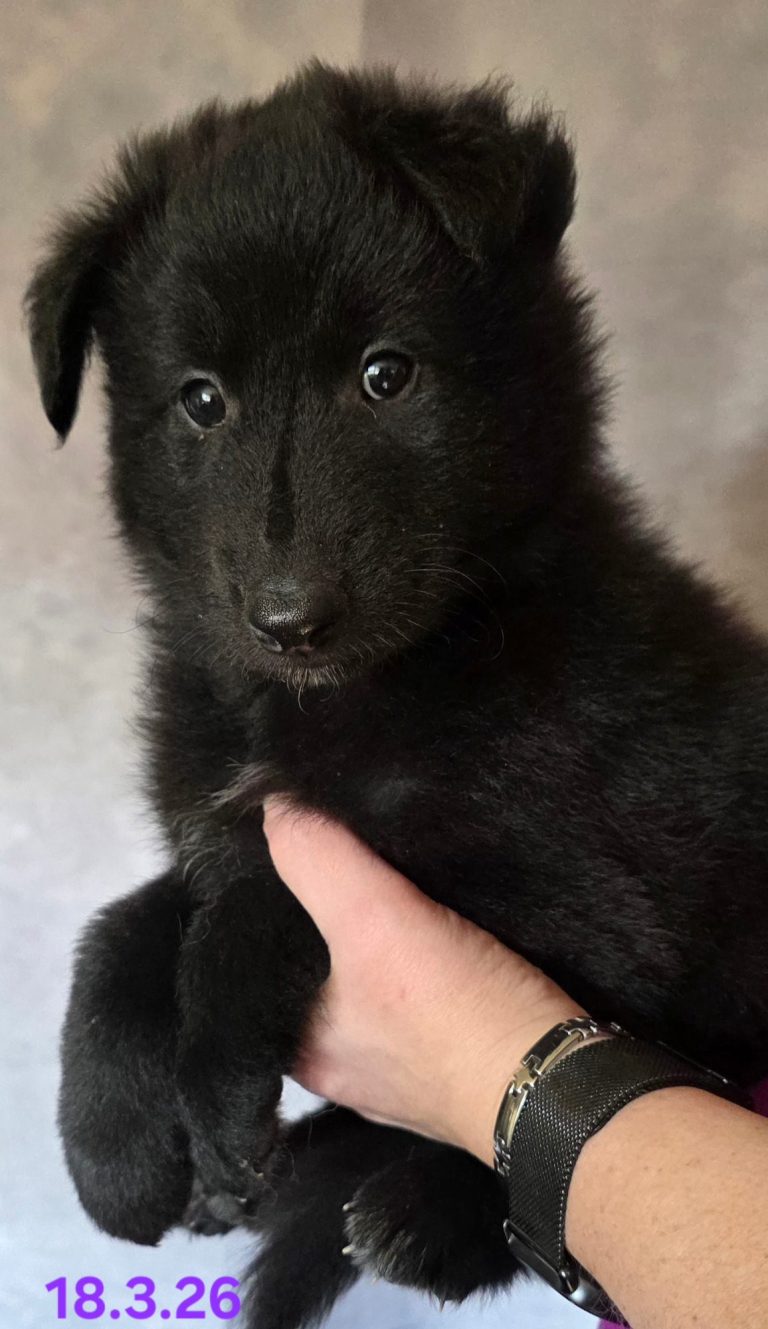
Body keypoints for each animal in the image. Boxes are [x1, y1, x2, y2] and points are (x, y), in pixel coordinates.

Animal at [26, 62, 768, 1328]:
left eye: (387, 374)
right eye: (201, 401)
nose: (289, 617)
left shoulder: (587, 891)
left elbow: (257, 903)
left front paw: (214, 1090)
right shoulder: (221, 817)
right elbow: (132, 918)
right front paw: (112, 1142)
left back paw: (412, 1213)